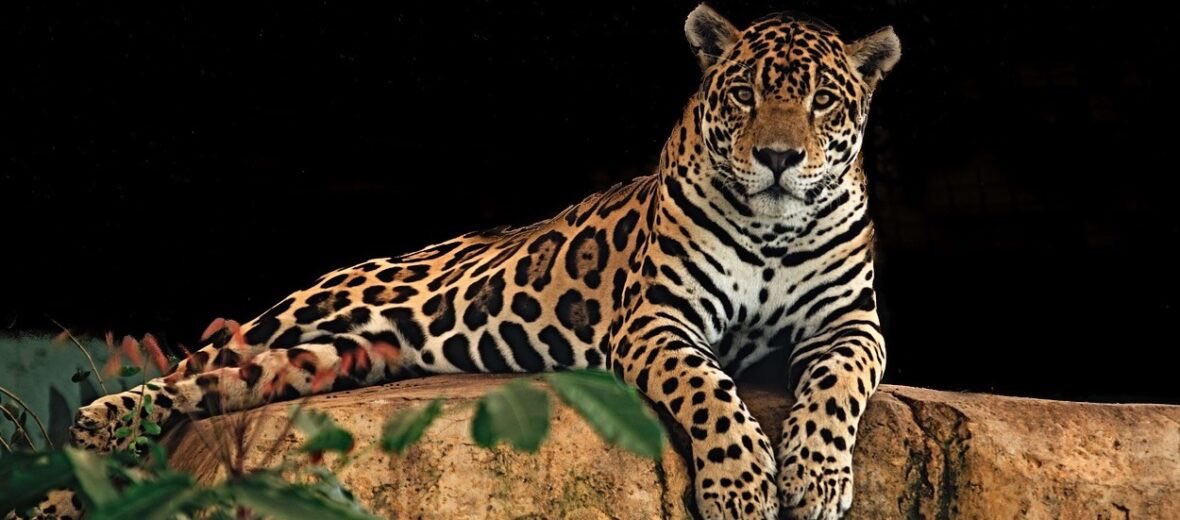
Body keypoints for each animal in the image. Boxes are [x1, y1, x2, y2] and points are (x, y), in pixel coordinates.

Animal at [55, 5, 900, 519]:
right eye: (744, 94)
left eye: (824, 101)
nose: (779, 158)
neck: (775, 231)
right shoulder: (658, 322)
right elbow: (712, 395)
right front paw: (743, 485)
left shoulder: (852, 325)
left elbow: (837, 385)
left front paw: (816, 477)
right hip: (301, 312)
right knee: (184, 368)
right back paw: (83, 451)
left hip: (334, 357)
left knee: (212, 386)